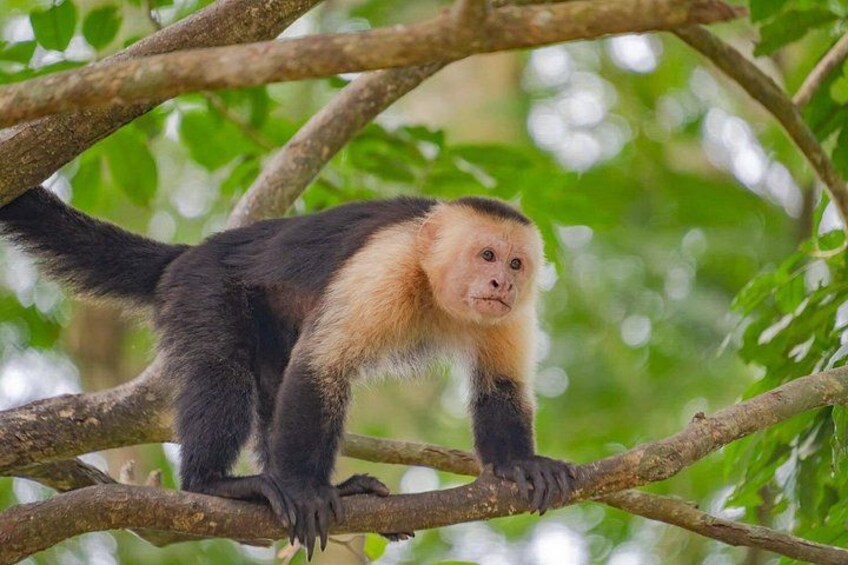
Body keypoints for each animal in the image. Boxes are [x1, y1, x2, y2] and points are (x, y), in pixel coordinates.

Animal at [0, 186, 574, 558]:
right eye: (486, 254)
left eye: (516, 264)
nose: (501, 283)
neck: (432, 285)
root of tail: (192, 253)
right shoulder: (385, 265)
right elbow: (320, 366)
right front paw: (302, 490)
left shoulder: (512, 314)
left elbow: (501, 387)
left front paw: (518, 464)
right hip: (201, 289)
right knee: (222, 371)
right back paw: (217, 484)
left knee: (273, 383)